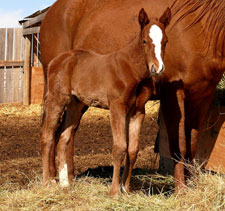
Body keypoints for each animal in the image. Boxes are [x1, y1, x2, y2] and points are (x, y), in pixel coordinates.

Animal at [40, 7, 171, 196]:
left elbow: (133, 150)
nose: (157, 68)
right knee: (47, 135)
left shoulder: (138, 111)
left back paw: (65, 184)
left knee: (63, 138)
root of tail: (55, 61)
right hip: (57, 99)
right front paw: (114, 192)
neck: (130, 68)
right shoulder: (116, 107)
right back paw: (48, 182)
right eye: (144, 40)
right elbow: (120, 147)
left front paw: (126, 189)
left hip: (75, 104)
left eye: (165, 41)